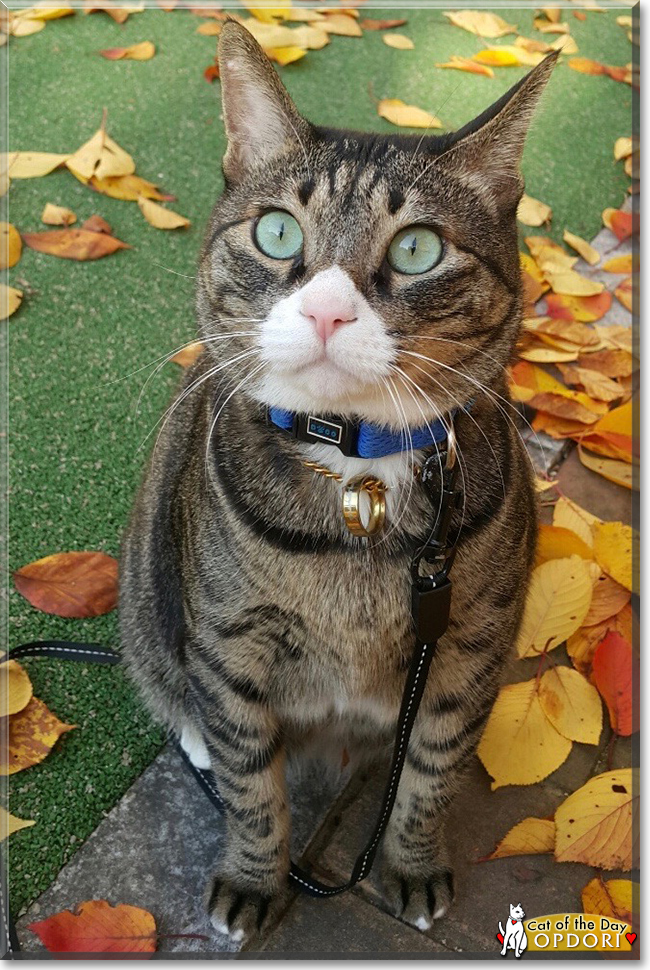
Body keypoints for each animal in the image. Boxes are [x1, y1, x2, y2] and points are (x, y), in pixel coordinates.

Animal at [119, 22, 556, 940]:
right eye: (279, 234)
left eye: (418, 248)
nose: (327, 311)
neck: (362, 481)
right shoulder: (231, 639)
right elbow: (253, 787)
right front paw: (254, 878)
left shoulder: (469, 645)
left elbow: (431, 771)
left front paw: (411, 865)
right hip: (147, 602)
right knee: (183, 700)